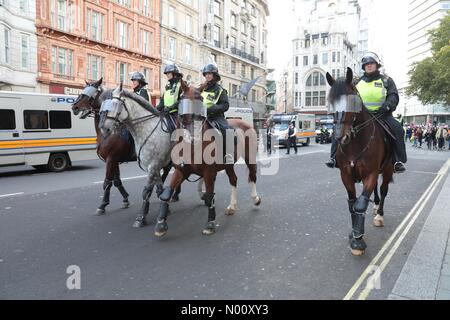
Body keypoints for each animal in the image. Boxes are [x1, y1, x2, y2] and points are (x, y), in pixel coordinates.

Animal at [71, 78, 180, 218]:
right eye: (82, 91)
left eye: (91, 94)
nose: (74, 107)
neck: (108, 134)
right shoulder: (114, 160)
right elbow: (116, 181)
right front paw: (125, 199)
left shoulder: (111, 159)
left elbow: (107, 182)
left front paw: (102, 205)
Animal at [154, 82, 262, 238]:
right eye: (182, 99)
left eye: (200, 100)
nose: (192, 137)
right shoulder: (181, 170)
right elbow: (167, 192)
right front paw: (161, 224)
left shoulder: (209, 173)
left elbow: (210, 196)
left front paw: (210, 224)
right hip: (228, 165)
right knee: (233, 180)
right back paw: (232, 206)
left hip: (250, 157)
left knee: (252, 176)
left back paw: (255, 198)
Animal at [326, 68, 394, 258]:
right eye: (331, 102)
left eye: (353, 101)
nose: (340, 137)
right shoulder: (346, 174)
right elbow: (352, 203)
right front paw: (354, 233)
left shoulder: (370, 173)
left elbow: (360, 204)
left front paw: (358, 240)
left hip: (387, 169)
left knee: (383, 190)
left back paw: (379, 215)